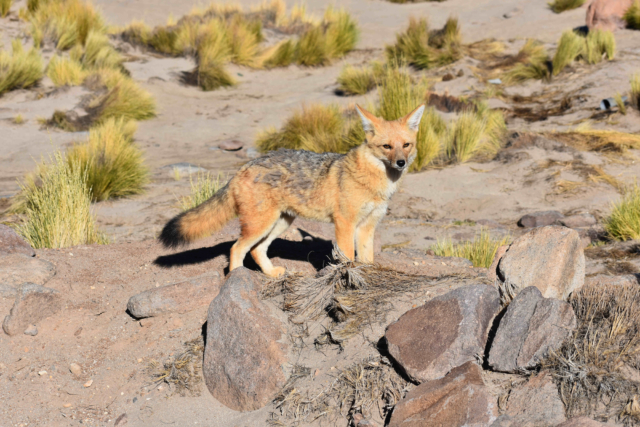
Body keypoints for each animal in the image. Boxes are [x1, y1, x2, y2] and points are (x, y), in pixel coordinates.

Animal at [159, 103, 426, 277]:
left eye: (406, 145)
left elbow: (367, 259)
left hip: (280, 223)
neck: (373, 181)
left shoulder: (367, 226)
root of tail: (244, 167)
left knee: (256, 250)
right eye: (386, 147)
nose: (401, 163)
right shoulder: (345, 223)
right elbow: (348, 257)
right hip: (261, 224)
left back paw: (270, 274)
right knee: (236, 248)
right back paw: (236, 280)